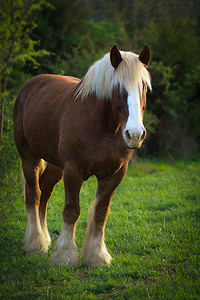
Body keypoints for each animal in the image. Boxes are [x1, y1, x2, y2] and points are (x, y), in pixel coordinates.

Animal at [13, 45, 151, 268]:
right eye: (118, 88)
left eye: (144, 87)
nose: (135, 134)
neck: (104, 128)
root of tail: (30, 86)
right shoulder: (73, 171)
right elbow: (71, 211)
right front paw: (65, 255)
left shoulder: (114, 174)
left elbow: (101, 212)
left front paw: (97, 256)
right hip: (29, 157)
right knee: (34, 194)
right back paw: (36, 244)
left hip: (55, 165)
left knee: (45, 191)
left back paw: (45, 238)